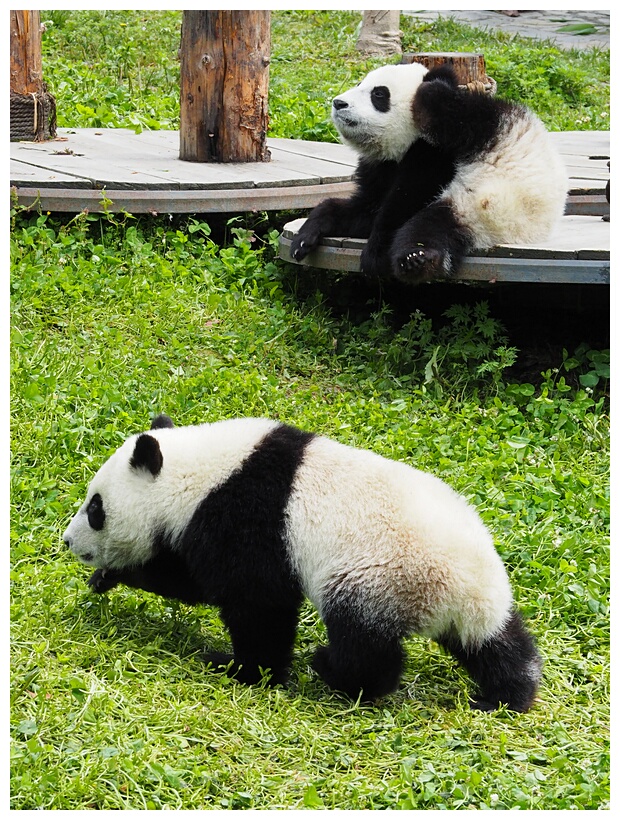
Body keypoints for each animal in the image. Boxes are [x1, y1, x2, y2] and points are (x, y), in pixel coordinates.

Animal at [64, 416, 544, 712]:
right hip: (479, 602)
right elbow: (194, 582)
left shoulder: (249, 519)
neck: (202, 471)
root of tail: (463, 591)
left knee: (363, 642)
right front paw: (108, 576)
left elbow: (255, 602)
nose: (68, 542)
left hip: (379, 576)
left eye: (96, 508)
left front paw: (243, 668)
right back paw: (508, 693)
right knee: (496, 643)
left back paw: (334, 671)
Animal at [288, 62, 568, 284]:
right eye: (360, 83)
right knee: (434, 230)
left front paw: (374, 255)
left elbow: (406, 199)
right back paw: (418, 260)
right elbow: (365, 209)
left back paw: (417, 258)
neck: (405, 144)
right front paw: (305, 237)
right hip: (467, 213)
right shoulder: (384, 168)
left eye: (379, 94)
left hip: (493, 168)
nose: (339, 103)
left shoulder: (436, 155)